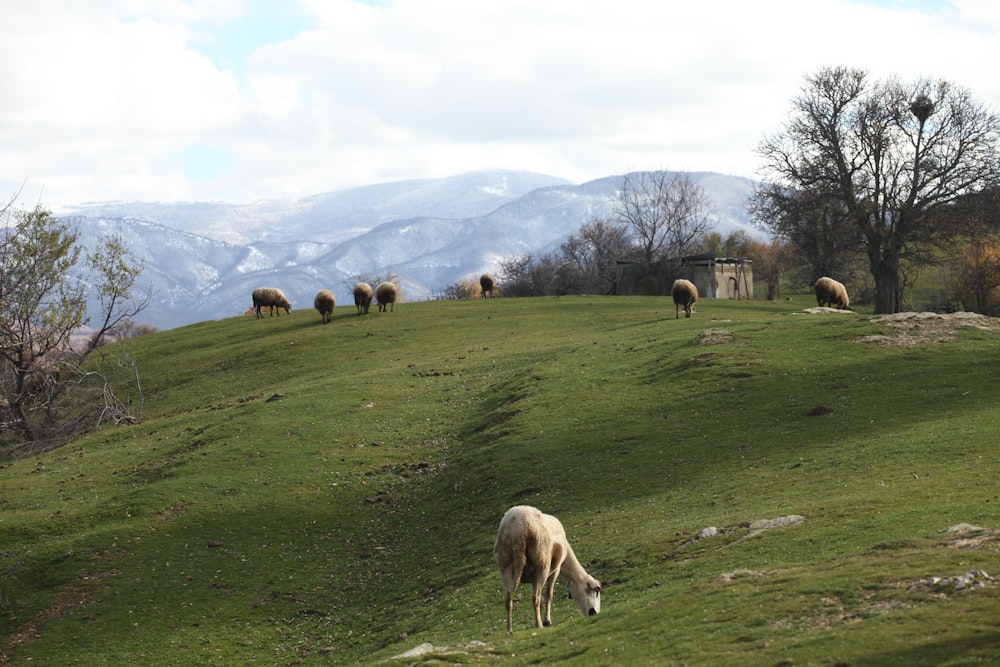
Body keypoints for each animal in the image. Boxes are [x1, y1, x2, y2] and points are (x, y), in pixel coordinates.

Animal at [492, 506, 600, 636]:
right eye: (596, 592)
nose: (594, 613)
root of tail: (518, 528)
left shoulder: (533, 578)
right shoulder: (556, 570)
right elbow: (549, 594)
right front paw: (547, 621)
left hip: (504, 564)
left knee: (508, 599)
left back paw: (510, 630)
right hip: (542, 563)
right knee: (535, 598)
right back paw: (539, 625)